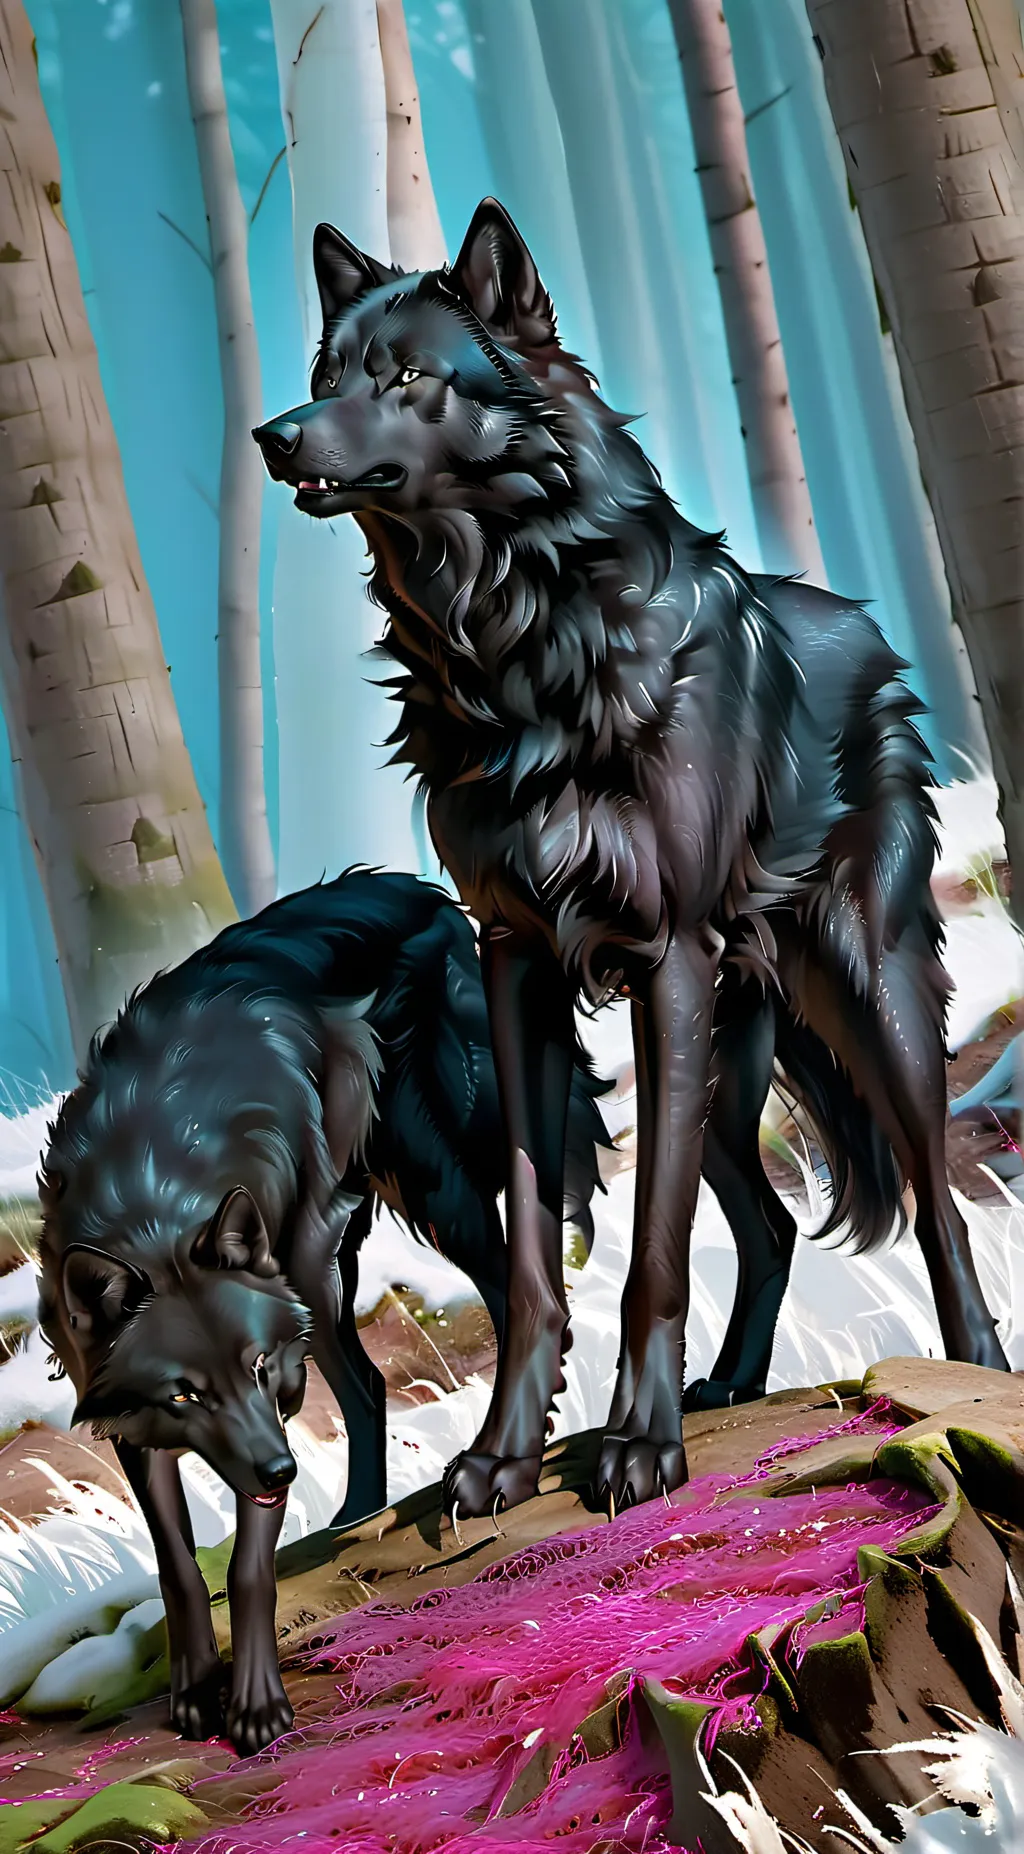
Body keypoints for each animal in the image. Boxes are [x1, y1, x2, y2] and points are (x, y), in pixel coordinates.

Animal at [37, 869, 609, 1752]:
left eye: (254, 1369)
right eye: (184, 1394)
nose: (281, 1473)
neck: (153, 1195)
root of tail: (428, 894)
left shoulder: (277, 1381)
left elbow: (246, 1566)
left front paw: (256, 1707)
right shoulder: (132, 1421)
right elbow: (176, 1563)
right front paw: (194, 1692)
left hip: (406, 1203)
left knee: (525, 1290)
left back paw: (505, 1445)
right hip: (320, 1277)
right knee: (370, 1386)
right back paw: (355, 1514)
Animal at [253, 198, 1008, 1525]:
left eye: (404, 377)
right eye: (323, 374)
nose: (272, 435)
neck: (513, 647)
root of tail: (861, 626)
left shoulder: (665, 960)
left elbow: (653, 1243)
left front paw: (638, 1449)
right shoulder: (517, 964)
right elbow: (528, 1255)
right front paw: (502, 1458)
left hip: (863, 1000)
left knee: (933, 1198)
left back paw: (969, 1371)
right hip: (730, 1054)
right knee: (768, 1227)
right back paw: (731, 1386)